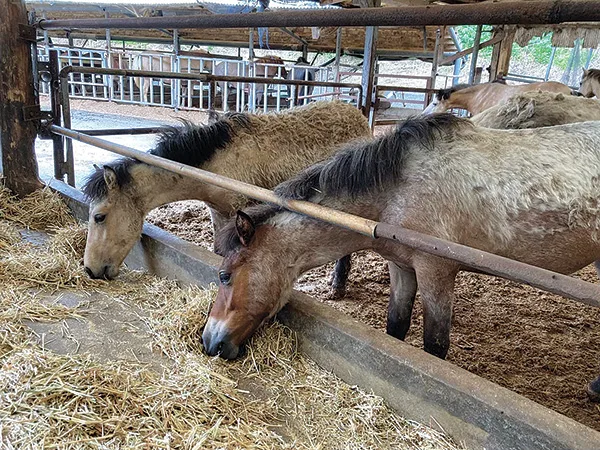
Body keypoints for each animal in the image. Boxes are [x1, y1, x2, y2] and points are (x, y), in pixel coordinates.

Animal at [81, 100, 370, 294]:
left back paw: (337, 286)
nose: (90, 270)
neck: (216, 166)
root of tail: (358, 115)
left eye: (99, 216)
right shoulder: (219, 215)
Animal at [200, 115, 600, 398]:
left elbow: (435, 346)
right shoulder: (401, 266)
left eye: (224, 275)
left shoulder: (436, 272)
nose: (209, 342)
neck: (399, 190)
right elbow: (395, 328)